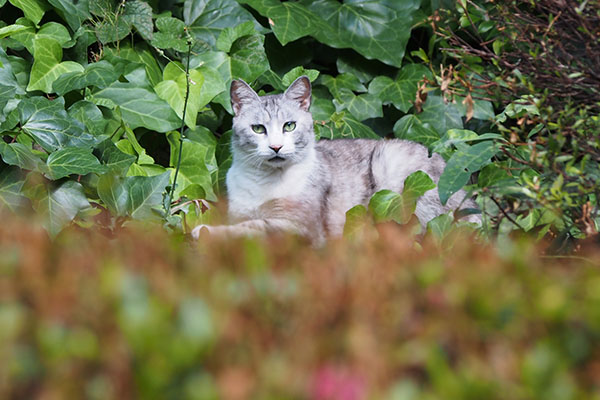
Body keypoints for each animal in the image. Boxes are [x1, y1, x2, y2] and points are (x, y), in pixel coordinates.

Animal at [195, 75, 480, 244]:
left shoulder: (300, 227)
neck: (265, 181)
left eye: (289, 126)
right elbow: (242, 223)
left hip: (393, 167)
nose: (276, 147)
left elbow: (252, 228)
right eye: (257, 129)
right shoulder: (238, 211)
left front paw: (204, 231)